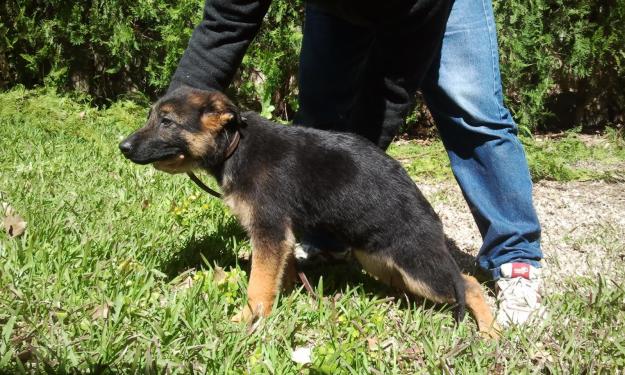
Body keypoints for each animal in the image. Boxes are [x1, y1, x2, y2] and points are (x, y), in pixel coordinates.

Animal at [117, 86, 498, 340]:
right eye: (151, 117)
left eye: (167, 122)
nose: (123, 147)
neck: (235, 146)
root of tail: (425, 208)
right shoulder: (279, 237)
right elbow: (277, 274)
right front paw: (283, 298)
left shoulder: (269, 231)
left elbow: (257, 284)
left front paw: (246, 319)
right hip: (380, 260)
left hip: (416, 264)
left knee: (468, 283)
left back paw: (489, 332)